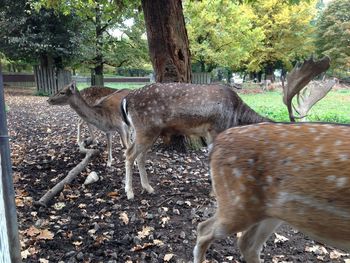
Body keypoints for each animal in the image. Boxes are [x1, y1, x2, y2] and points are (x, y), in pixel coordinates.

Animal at [120, 83, 270, 199]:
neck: (237, 117)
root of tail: (127, 98)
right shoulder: (216, 130)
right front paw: (214, 193)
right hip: (146, 129)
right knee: (129, 154)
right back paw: (130, 192)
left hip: (144, 131)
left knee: (140, 156)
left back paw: (148, 188)